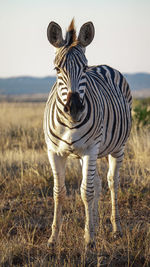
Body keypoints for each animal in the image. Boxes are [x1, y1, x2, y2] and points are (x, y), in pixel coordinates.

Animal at [44, 18, 132, 249]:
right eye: (57, 68)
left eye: (83, 68)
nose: (74, 108)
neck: (69, 124)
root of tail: (103, 66)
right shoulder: (54, 152)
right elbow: (59, 192)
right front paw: (53, 238)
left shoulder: (90, 149)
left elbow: (86, 192)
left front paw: (88, 239)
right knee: (99, 184)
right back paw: (96, 224)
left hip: (117, 148)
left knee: (111, 182)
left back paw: (115, 228)